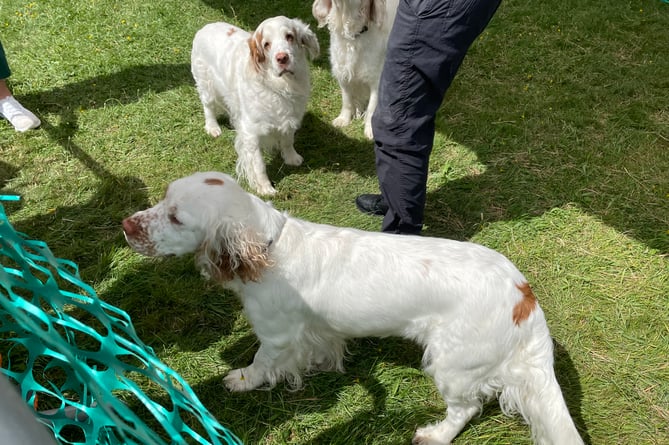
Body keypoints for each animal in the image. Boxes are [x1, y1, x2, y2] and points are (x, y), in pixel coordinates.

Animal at [122, 171, 580, 444]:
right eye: (163, 200)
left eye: (177, 218)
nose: (126, 225)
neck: (269, 247)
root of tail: (524, 295)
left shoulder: (276, 336)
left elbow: (260, 364)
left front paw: (241, 380)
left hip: (453, 364)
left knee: (466, 407)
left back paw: (434, 433)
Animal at [190, 17, 320, 194]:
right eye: (266, 44)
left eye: (289, 36)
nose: (282, 58)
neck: (281, 85)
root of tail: (206, 27)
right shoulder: (252, 134)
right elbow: (259, 165)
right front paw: (265, 188)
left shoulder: (290, 117)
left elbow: (288, 140)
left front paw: (292, 158)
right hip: (206, 84)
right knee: (208, 107)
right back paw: (212, 127)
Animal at [312, 0, 400, 138]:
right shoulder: (343, 74)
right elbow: (347, 100)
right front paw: (344, 119)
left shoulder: (376, 80)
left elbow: (372, 107)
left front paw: (370, 129)